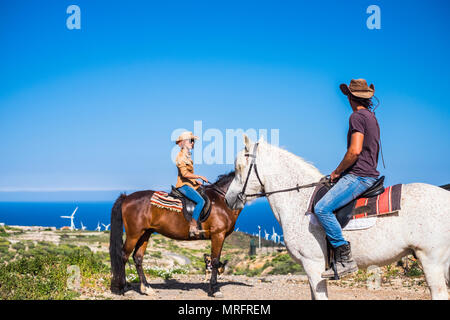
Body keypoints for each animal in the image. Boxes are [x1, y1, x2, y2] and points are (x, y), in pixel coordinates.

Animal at [109, 171, 241, 296]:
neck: (222, 200)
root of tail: (126, 197)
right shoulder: (218, 235)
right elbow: (215, 261)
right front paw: (215, 290)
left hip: (145, 233)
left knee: (138, 257)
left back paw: (146, 288)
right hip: (134, 234)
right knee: (123, 256)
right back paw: (123, 288)